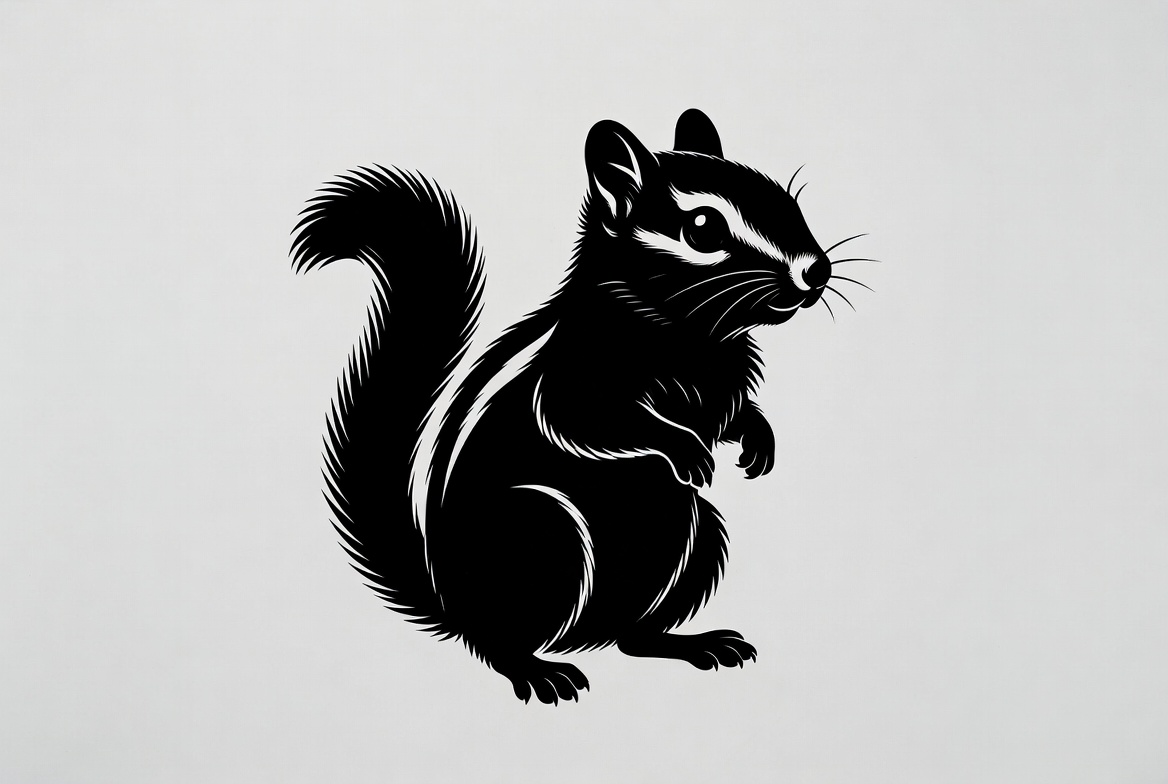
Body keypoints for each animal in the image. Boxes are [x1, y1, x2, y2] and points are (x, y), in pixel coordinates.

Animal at [291, 109, 859, 704]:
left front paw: (758, 439)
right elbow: (591, 423)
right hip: (541, 533)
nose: (815, 270)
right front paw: (685, 448)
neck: (693, 337)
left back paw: (694, 644)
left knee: (633, 638)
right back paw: (537, 671)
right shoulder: (575, 378)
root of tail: (451, 602)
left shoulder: (724, 386)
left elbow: (734, 414)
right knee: (499, 643)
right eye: (703, 228)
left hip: (696, 535)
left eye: (790, 202)